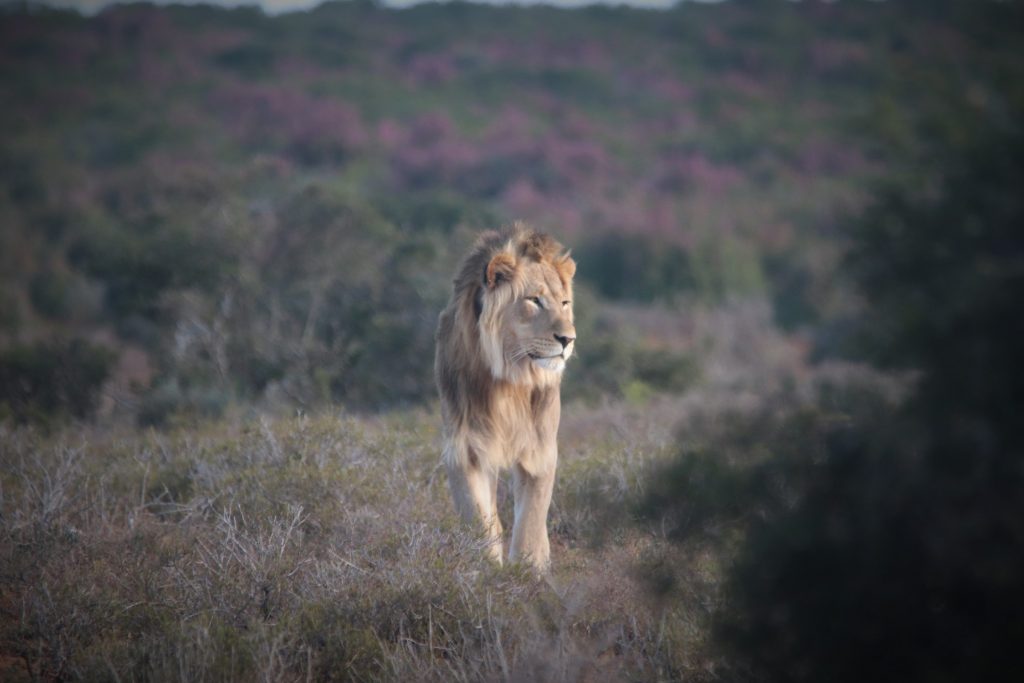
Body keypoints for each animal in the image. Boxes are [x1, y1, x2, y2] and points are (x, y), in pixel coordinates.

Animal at [434, 224, 577, 573]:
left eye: (564, 302)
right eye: (534, 300)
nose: (568, 339)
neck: (510, 379)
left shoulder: (540, 450)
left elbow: (530, 522)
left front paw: (528, 574)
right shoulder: (464, 448)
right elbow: (479, 519)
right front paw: (485, 571)